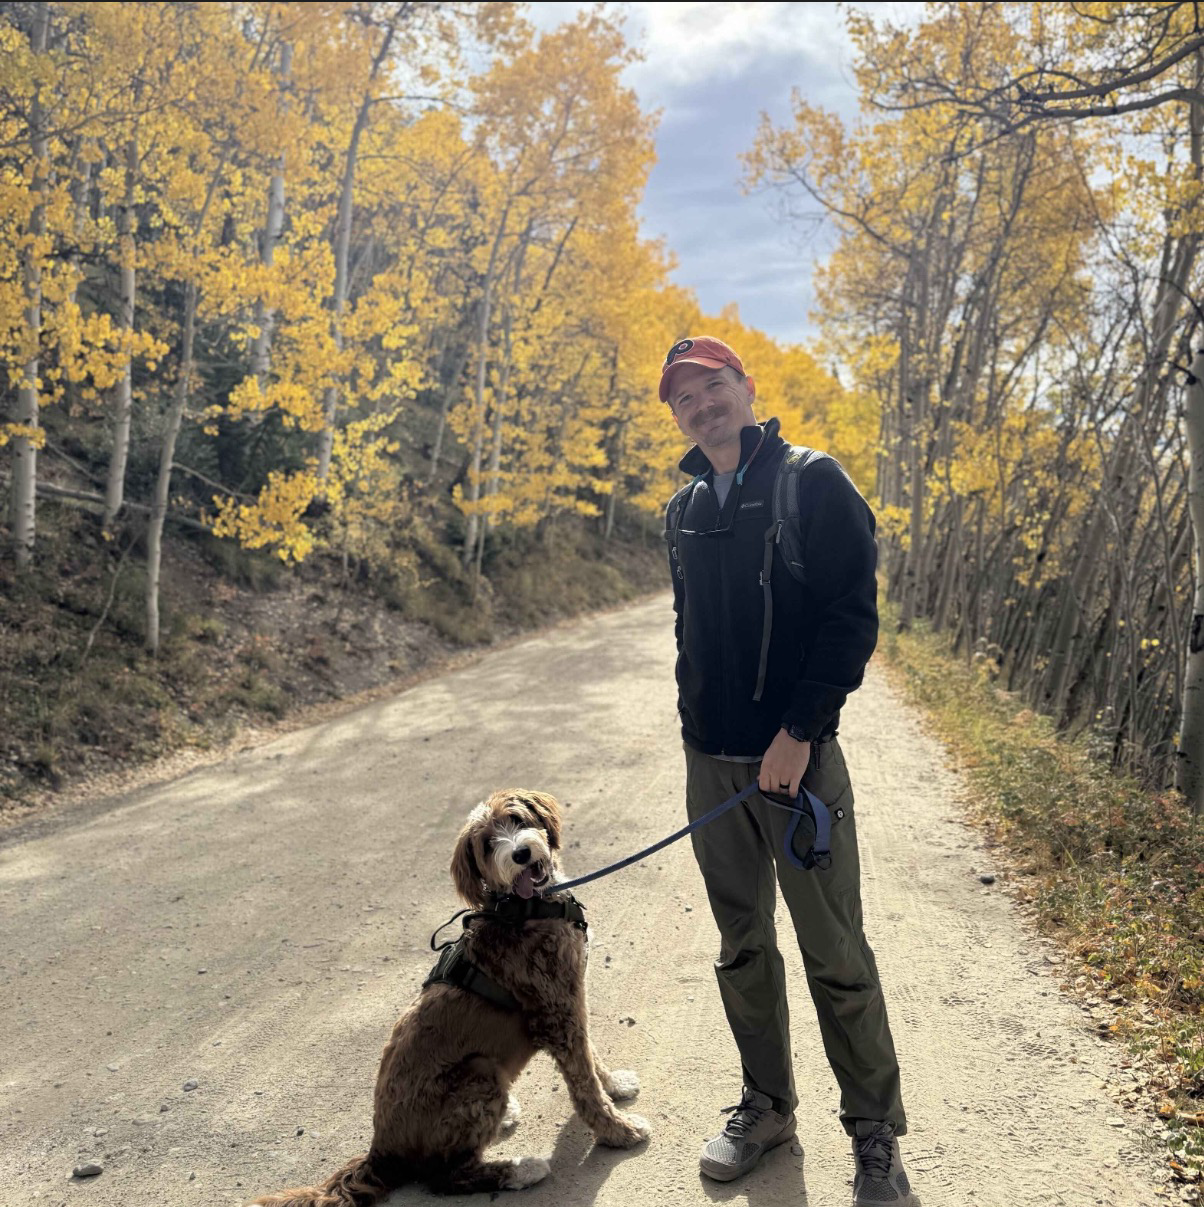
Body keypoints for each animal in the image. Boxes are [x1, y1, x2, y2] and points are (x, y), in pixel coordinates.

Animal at [249, 786, 656, 1202]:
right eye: (487, 845)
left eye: (516, 819)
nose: (519, 854)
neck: (521, 909)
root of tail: (381, 1150)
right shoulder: (555, 1015)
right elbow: (584, 1084)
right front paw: (618, 1131)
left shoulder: (570, 1001)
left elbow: (591, 1057)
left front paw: (614, 1084)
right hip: (479, 1074)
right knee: (446, 1177)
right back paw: (520, 1170)